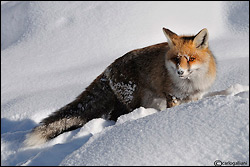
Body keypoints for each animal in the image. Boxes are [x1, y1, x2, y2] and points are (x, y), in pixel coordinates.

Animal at [24, 27, 217, 146]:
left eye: (191, 59)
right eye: (177, 59)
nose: (180, 72)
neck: (189, 85)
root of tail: (108, 68)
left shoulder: (194, 97)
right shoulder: (172, 96)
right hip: (133, 101)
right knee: (115, 116)